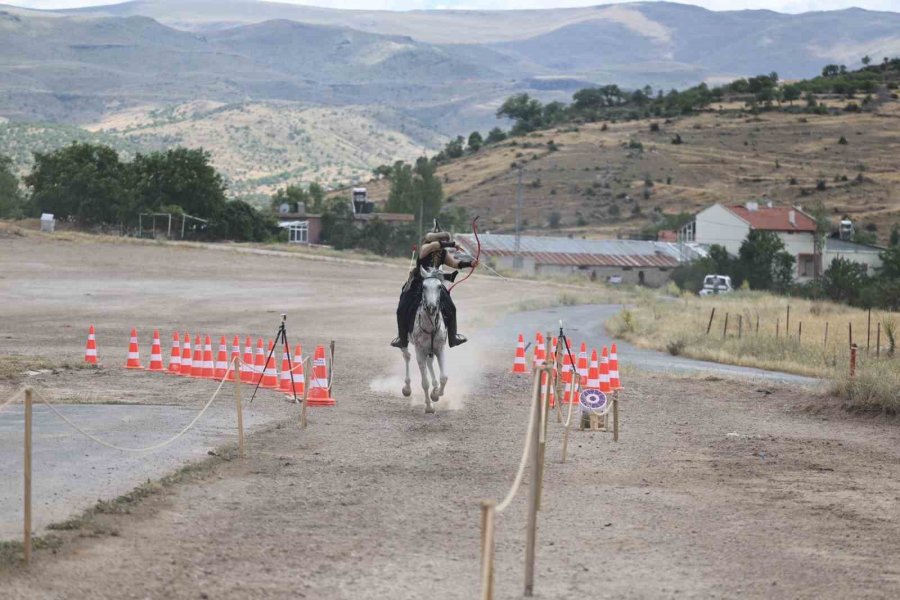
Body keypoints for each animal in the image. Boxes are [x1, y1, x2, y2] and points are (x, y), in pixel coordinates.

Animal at [402, 266, 448, 412]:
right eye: (424, 286)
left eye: (439, 286)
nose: (431, 307)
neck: (431, 326)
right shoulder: (420, 352)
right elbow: (425, 383)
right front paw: (429, 406)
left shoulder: (440, 349)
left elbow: (444, 377)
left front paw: (437, 394)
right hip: (404, 342)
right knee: (407, 357)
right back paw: (407, 388)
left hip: (431, 350)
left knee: (430, 362)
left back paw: (435, 387)